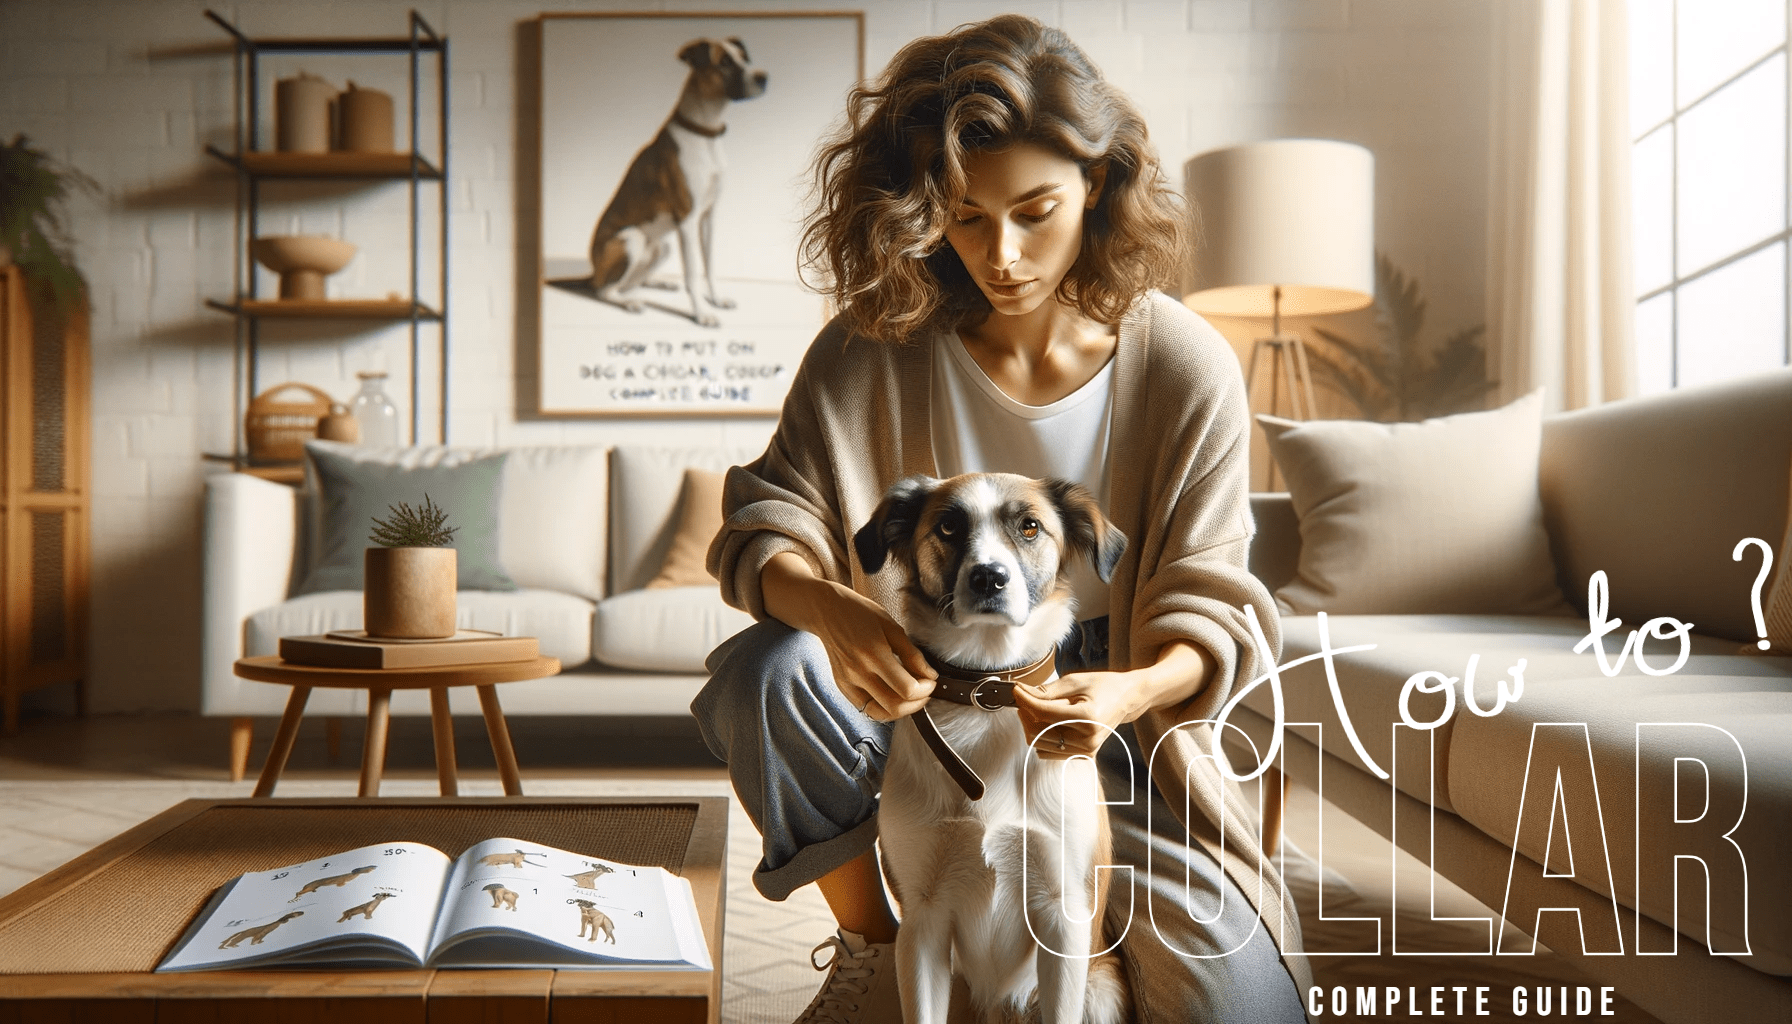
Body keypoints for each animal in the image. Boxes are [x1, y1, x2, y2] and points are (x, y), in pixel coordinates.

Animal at [580, 36, 763, 324]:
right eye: (724, 62)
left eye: (745, 58)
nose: (764, 77)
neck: (705, 133)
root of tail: (592, 271)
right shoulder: (687, 220)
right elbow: (693, 273)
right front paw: (701, 314)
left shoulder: (708, 217)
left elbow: (709, 266)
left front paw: (716, 299)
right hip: (631, 239)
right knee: (604, 290)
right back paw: (630, 302)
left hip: (662, 247)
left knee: (627, 283)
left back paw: (656, 284)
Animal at [856, 473, 1132, 1024]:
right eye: (947, 526)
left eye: (1029, 527)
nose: (989, 578)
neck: (986, 693)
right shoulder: (921, 921)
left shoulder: (1062, 916)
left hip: (1100, 991)